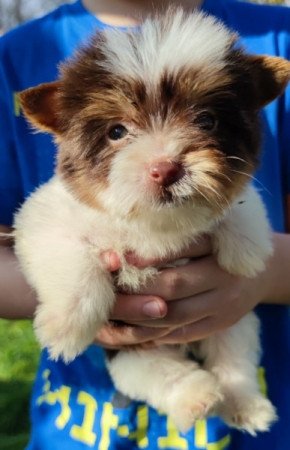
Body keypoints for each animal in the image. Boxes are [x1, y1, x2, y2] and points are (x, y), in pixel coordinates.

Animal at [14, 7, 290, 436]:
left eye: (206, 121)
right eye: (117, 131)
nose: (167, 168)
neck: (156, 223)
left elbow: (241, 202)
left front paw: (246, 253)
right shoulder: (46, 216)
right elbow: (71, 259)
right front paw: (66, 326)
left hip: (233, 322)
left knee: (234, 361)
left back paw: (245, 404)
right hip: (131, 354)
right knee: (160, 374)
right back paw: (195, 397)